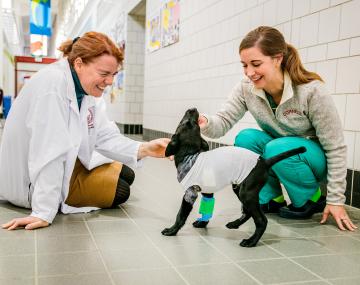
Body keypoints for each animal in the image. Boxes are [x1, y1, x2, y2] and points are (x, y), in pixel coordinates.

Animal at [163, 107, 306, 245]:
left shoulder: (190, 194)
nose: (193, 109)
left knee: (261, 220)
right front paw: (202, 223)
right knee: (247, 212)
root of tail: (264, 161)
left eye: (186, 122)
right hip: (239, 188)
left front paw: (172, 230)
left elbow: (180, 215)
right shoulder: (207, 191)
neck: (189, 154)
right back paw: (235, 224)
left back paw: (251, 241)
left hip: (246, 193)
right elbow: (207, 209)